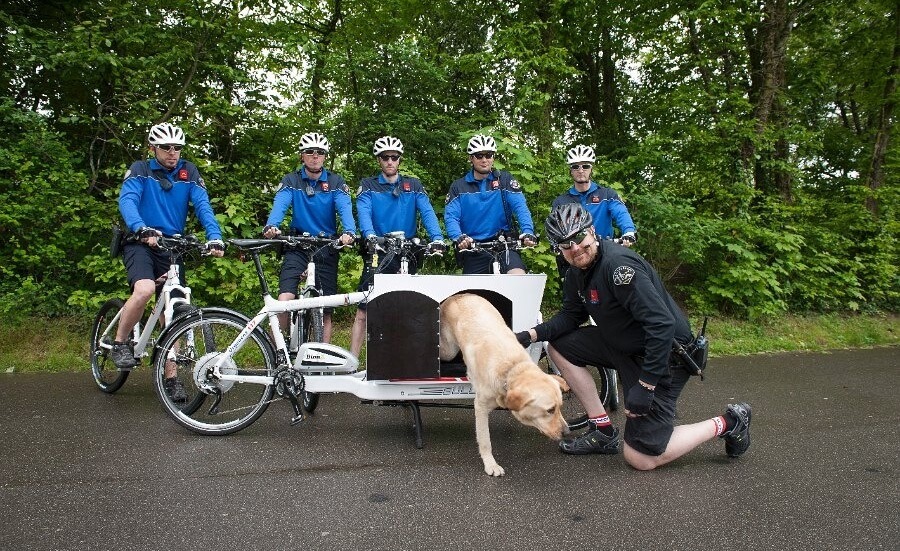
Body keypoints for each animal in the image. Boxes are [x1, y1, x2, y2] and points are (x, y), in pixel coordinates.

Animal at [438, 292, 568, 476]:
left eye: (560, 407)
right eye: (550, 410)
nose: (568, 432)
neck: (511, 369)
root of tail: (460, 294)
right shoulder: (480, 408)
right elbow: (485, 441)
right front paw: (490, 465)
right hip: (448, 350)